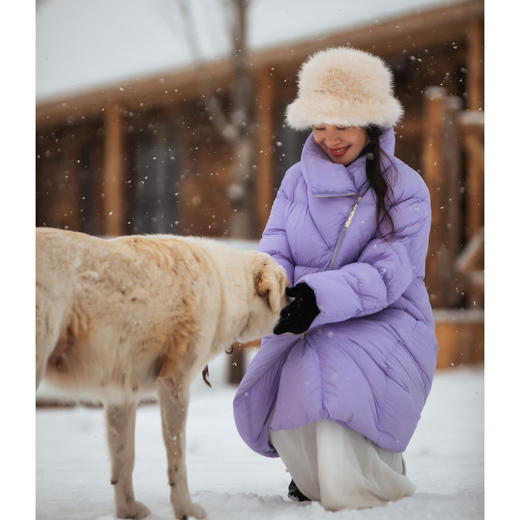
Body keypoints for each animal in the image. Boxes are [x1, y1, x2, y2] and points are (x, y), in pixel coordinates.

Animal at [36, 230, 288, 520]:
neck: (225, 289)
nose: (301, 299)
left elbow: (124, 458)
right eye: (287, 289)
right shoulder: (174, 383)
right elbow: (177, 456)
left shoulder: (122, 396)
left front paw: (129, 510)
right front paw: (185, 508)